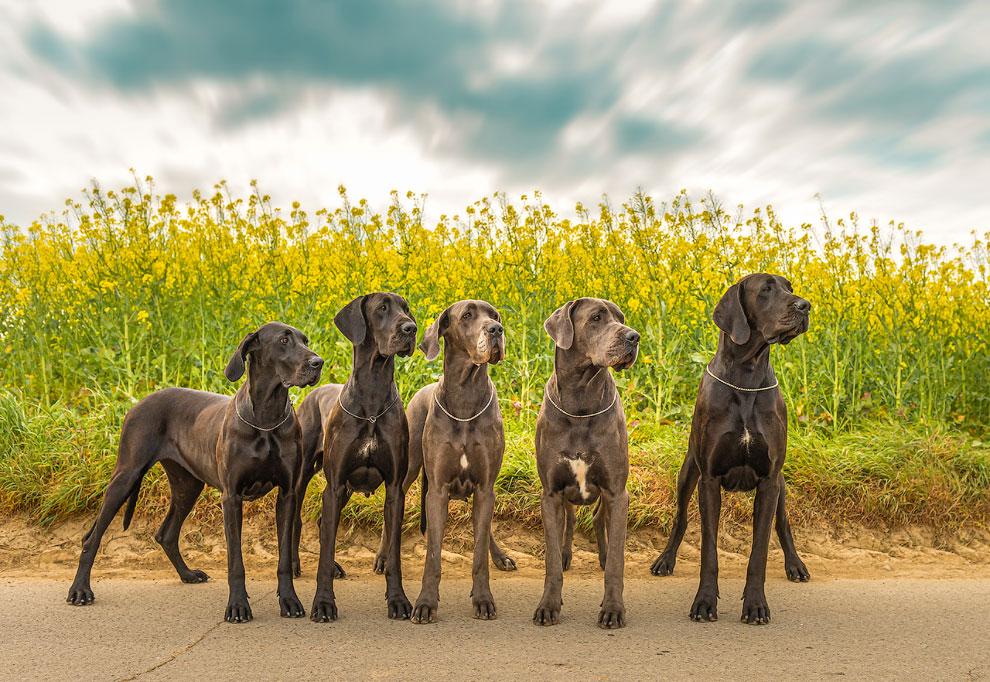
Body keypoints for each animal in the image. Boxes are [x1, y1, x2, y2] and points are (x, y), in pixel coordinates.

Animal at [65, 322, 326, 624]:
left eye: (305, 341)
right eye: (284, 340)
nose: (318, 362)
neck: (266, 419)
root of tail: (138, 402)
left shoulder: (287, 494)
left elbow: (283, 558)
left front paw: (289, 601)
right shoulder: (231, 498)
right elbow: (235, 562)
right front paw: (238, 606)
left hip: (187, 485)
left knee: (166, 534)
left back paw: (187, 574)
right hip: (126, 476)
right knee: (91, 537)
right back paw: (80, 590)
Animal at [300, 290, 416, 620]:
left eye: (406, 309)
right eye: (382, 309)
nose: (411, 329)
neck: (372, 400)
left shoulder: (395, 489)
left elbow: (394, 554)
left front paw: (398, 600)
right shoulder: (334, 485)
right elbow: (325, 549)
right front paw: (323, 603)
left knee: (321, 525)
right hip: (304, 477)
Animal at [404, 298, 512, 620]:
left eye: (494, 315)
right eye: (467, 316)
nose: (496, 329)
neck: (465, 396)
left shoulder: (485, 488)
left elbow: (478, 554)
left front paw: (483, 599)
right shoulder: (438, 490)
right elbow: (432, 555)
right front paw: (426, 602)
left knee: (484, 530)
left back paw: (500, 556)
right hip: (409, 468)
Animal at [536, 294, 644, 624]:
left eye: (621, 318)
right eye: (596, 318)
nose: (634, 337)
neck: (580, 404)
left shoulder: (617, 492)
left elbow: (617, 562)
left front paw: (612, 608)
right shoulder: (551, 493)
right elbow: (551, 561)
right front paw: (548, 605)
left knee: (598, 520)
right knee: (570, 521)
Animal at [652, 274, 812, 624]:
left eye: (790, 287)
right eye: (766, 289)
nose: (805, 305)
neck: (747, 378)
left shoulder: (769, 481)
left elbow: (759, 552)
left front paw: (755, 605)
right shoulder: (709, 480)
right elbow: (708, 552)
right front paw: (704, 602)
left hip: (781, 484)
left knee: (783, 523)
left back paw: (795, 565)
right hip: (687, 474)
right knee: (680, 519)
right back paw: (665, 560)